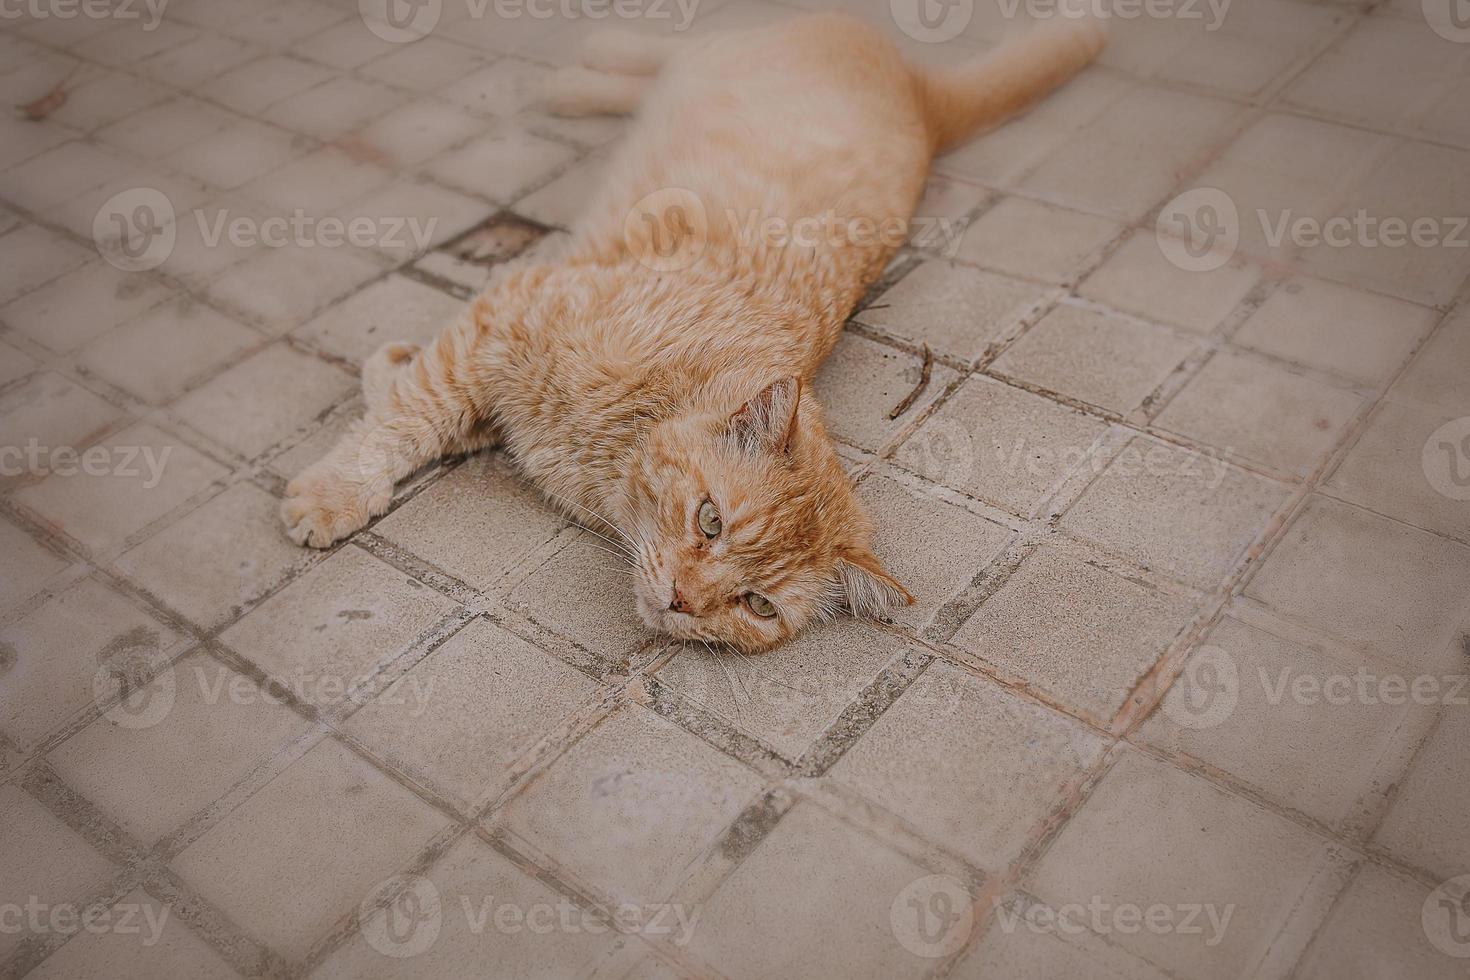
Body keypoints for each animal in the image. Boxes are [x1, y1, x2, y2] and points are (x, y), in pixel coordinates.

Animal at [280, 11, 1105, 652]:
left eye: (755, 605)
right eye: (710, 521)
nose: (681, 599)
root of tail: (920, 96)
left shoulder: (494, 371)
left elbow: (424, 409)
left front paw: (384, 376)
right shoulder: (499, 325)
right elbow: (401, 423)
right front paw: (333, 492)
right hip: (723, 51)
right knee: (666, 50)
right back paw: (581, 72)